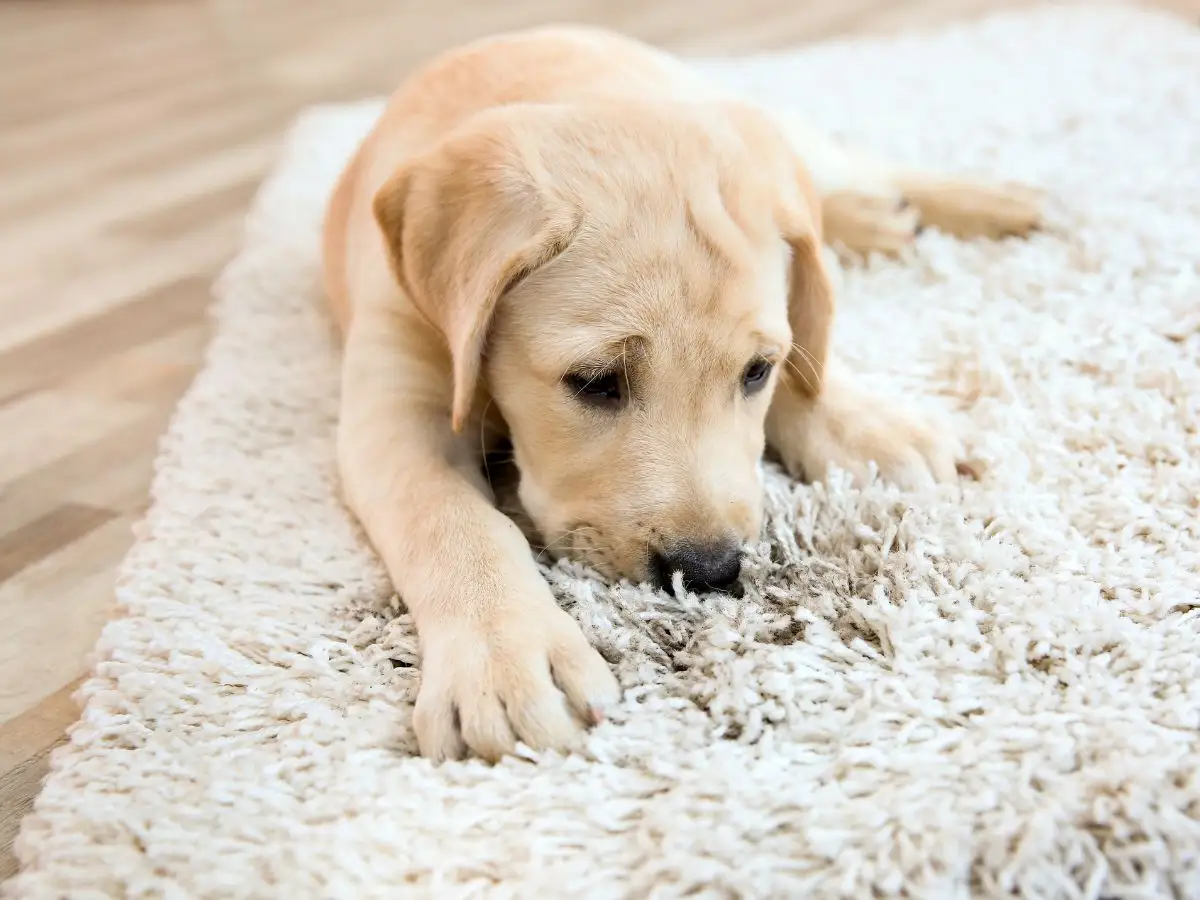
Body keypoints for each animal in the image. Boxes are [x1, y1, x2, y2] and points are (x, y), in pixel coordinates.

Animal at [321, 24, 1041, 763]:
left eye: (756, 372)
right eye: (596, 382)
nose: (708, 572)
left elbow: (807, 337)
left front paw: (868, 425)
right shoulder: (397, 408)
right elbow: (451, 522)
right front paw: (503, 659)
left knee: (843, 180)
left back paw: (992, 202)